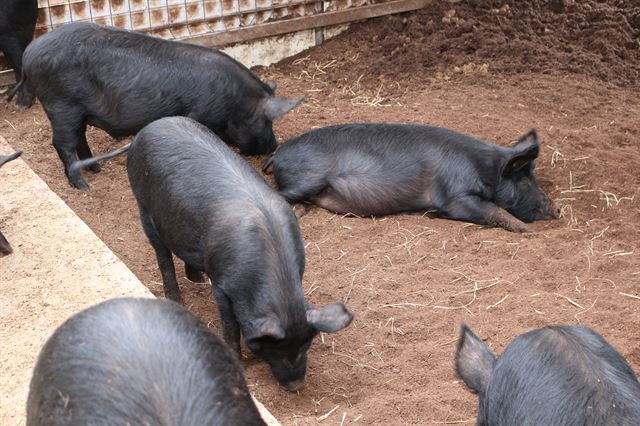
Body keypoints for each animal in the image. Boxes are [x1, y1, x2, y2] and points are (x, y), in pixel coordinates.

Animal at [10, 21, 304, 188]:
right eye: (266, 121)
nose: (273, 145)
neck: (235, 102)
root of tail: (29, 54)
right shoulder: (201, 114)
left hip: (76, 110)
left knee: (79, 138)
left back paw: (97, 169)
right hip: (61, 104)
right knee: (62, 143)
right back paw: (82, 185)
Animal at [70, 115, 356, 392]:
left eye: (306, 346)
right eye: (277, 350)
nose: (296, 386)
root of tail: (145, 131)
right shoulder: (222, 284)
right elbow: (229, 326)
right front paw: (237, 359)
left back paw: (197, 278)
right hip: (144, 207)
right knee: (162, 255)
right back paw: (177, 299)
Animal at [262, 123, 556, 233]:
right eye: (525, 181)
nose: (557, 210)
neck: (484, 169)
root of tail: (278, 153)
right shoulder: (454, 197)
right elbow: (493, 209)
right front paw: (530, 231)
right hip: (308, 177)